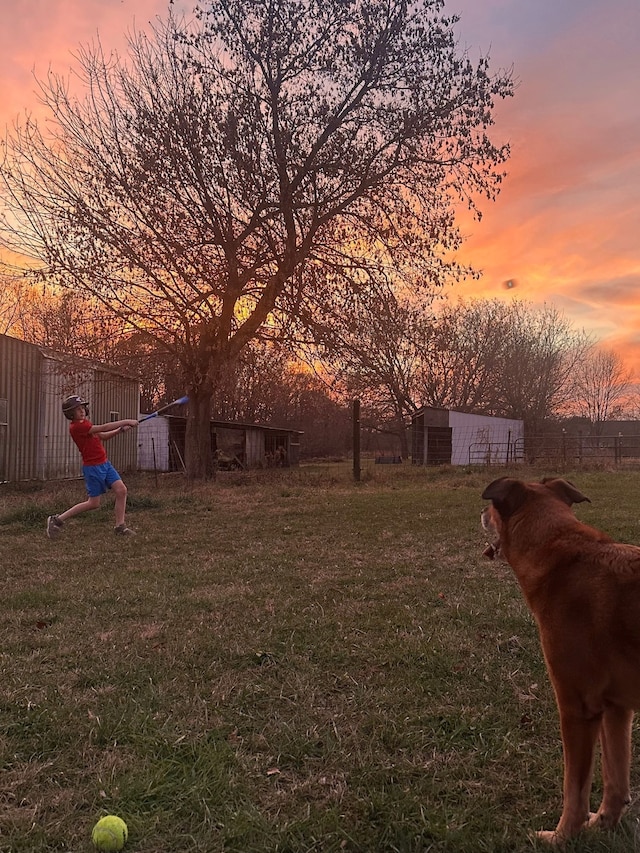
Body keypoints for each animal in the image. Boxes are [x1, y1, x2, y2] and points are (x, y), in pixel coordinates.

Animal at [480, 476, 640, 844]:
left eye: (492, 507)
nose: (481, 512)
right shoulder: (616, 708)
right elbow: (615, 779)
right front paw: (602, 824)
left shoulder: (576, 707)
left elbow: (575, 789)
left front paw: (563, 836)